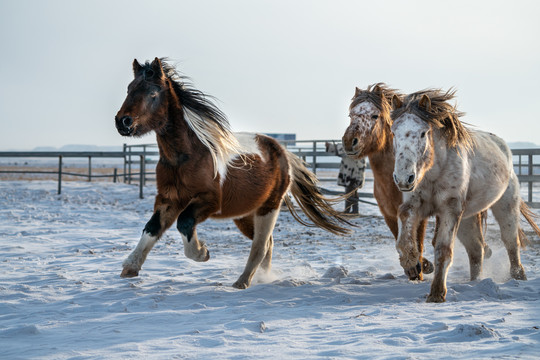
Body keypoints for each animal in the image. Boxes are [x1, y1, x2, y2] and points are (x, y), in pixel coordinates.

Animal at [114, 59, 350, 290]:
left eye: (153, 93)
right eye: (129, 89)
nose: (123, 122)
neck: (186, 157)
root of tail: (283, 152)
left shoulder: (210, 201)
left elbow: (185, 222)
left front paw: (202, 252)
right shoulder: (169, 199)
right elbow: (152, 228)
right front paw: (130, 267)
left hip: (269, 207)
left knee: (260, 245)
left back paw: (242, 282)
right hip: (245, 214)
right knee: (268, 243)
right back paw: (260, 277)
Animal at [344, 83, 436, 280]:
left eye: (374, 115)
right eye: (351, 115)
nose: (349, 141)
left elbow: (418, 240)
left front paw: (421, 268)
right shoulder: (388, 214)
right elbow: (399, 236)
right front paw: (415, 267)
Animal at [390, 88, 540, 302]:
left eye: (423, 133)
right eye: (393, 132)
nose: (404, 178)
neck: (435, 170)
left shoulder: (450, 209)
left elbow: (443, 250)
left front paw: (437, 294)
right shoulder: (415, 204)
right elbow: (403, 232)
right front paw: (411, 265)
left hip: (505, 207)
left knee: (511, 242)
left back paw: (518, 277)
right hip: (467, 218)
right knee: (476, 249)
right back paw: (475, 281)